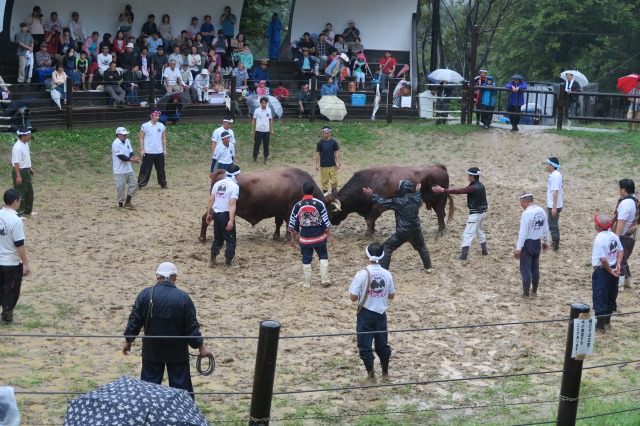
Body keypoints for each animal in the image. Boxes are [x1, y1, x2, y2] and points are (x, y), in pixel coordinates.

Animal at [325, 165, 454, 236]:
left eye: (332, 210)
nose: (332, 222)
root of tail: (438, 167)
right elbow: (371, 221)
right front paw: (371, 231)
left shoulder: (379, 206)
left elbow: (369, 220)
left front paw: (368, 234)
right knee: (441, 215)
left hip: (439, 201)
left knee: (440, 215)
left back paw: (439, 232)